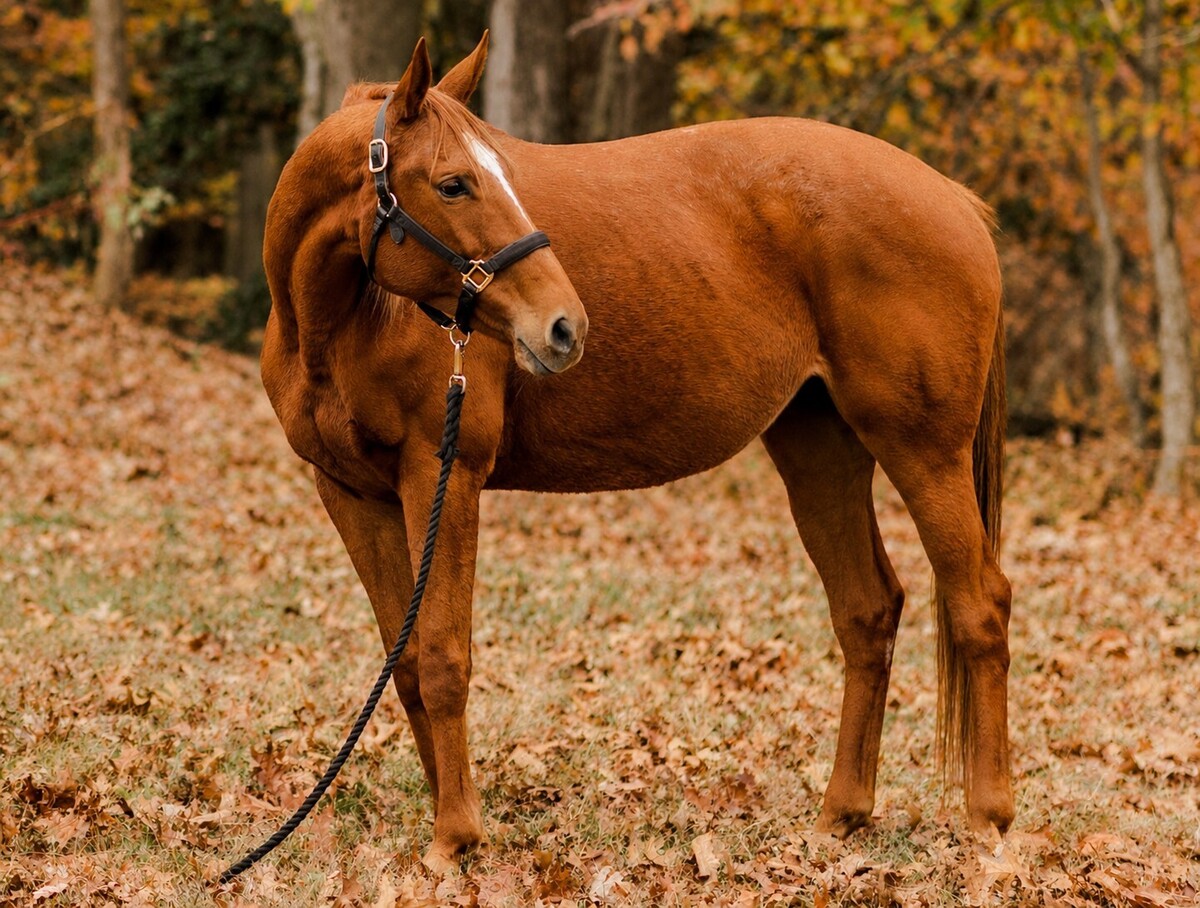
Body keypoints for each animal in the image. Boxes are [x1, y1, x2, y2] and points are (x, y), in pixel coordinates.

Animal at [259, 33, 1013, 874]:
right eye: (453, 184)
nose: (564, 326)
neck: (344, 322)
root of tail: (953, 198)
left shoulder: (441, 476)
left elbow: (445, 657)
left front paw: (456, 838)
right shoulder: (351, 494)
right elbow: (409, 663)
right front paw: (448, 821)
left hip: (926, 455)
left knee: (980, 607)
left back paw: (988, 822)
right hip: (821, 451)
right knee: (868, 611)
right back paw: (840, 818)